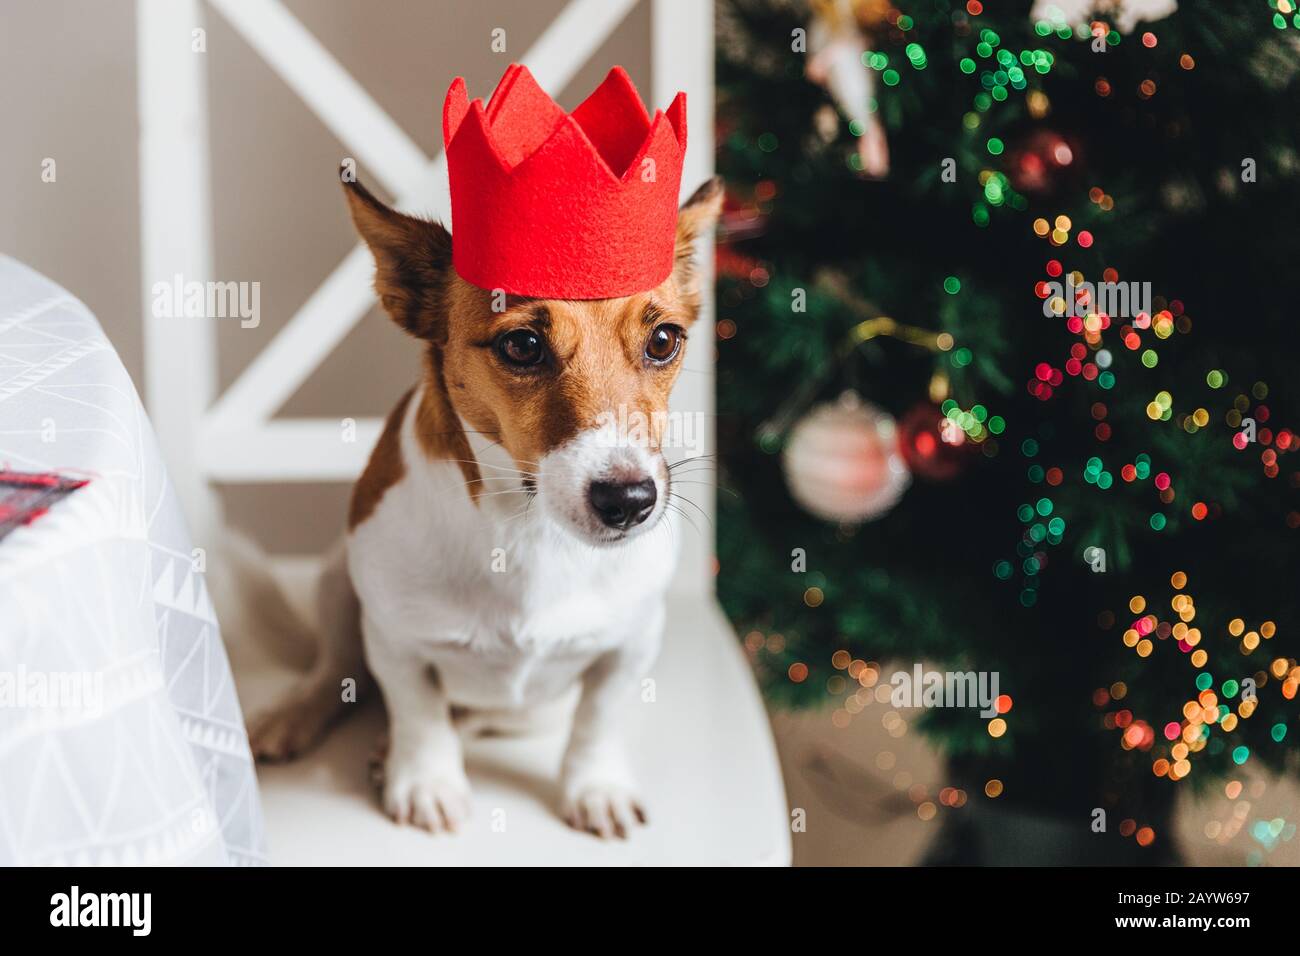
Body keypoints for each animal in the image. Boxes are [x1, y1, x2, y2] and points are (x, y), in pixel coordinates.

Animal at [248, 171, 728, 837]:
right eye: (523, 345)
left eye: (664, 340)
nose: (629, 500)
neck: (528, 528)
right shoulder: (395, 639)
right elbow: (419, 710)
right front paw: (426, 781)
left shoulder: (629, 646)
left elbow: (596, 721)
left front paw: (596, 786)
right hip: (337, 579)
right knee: (332, 671)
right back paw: (296, 716)